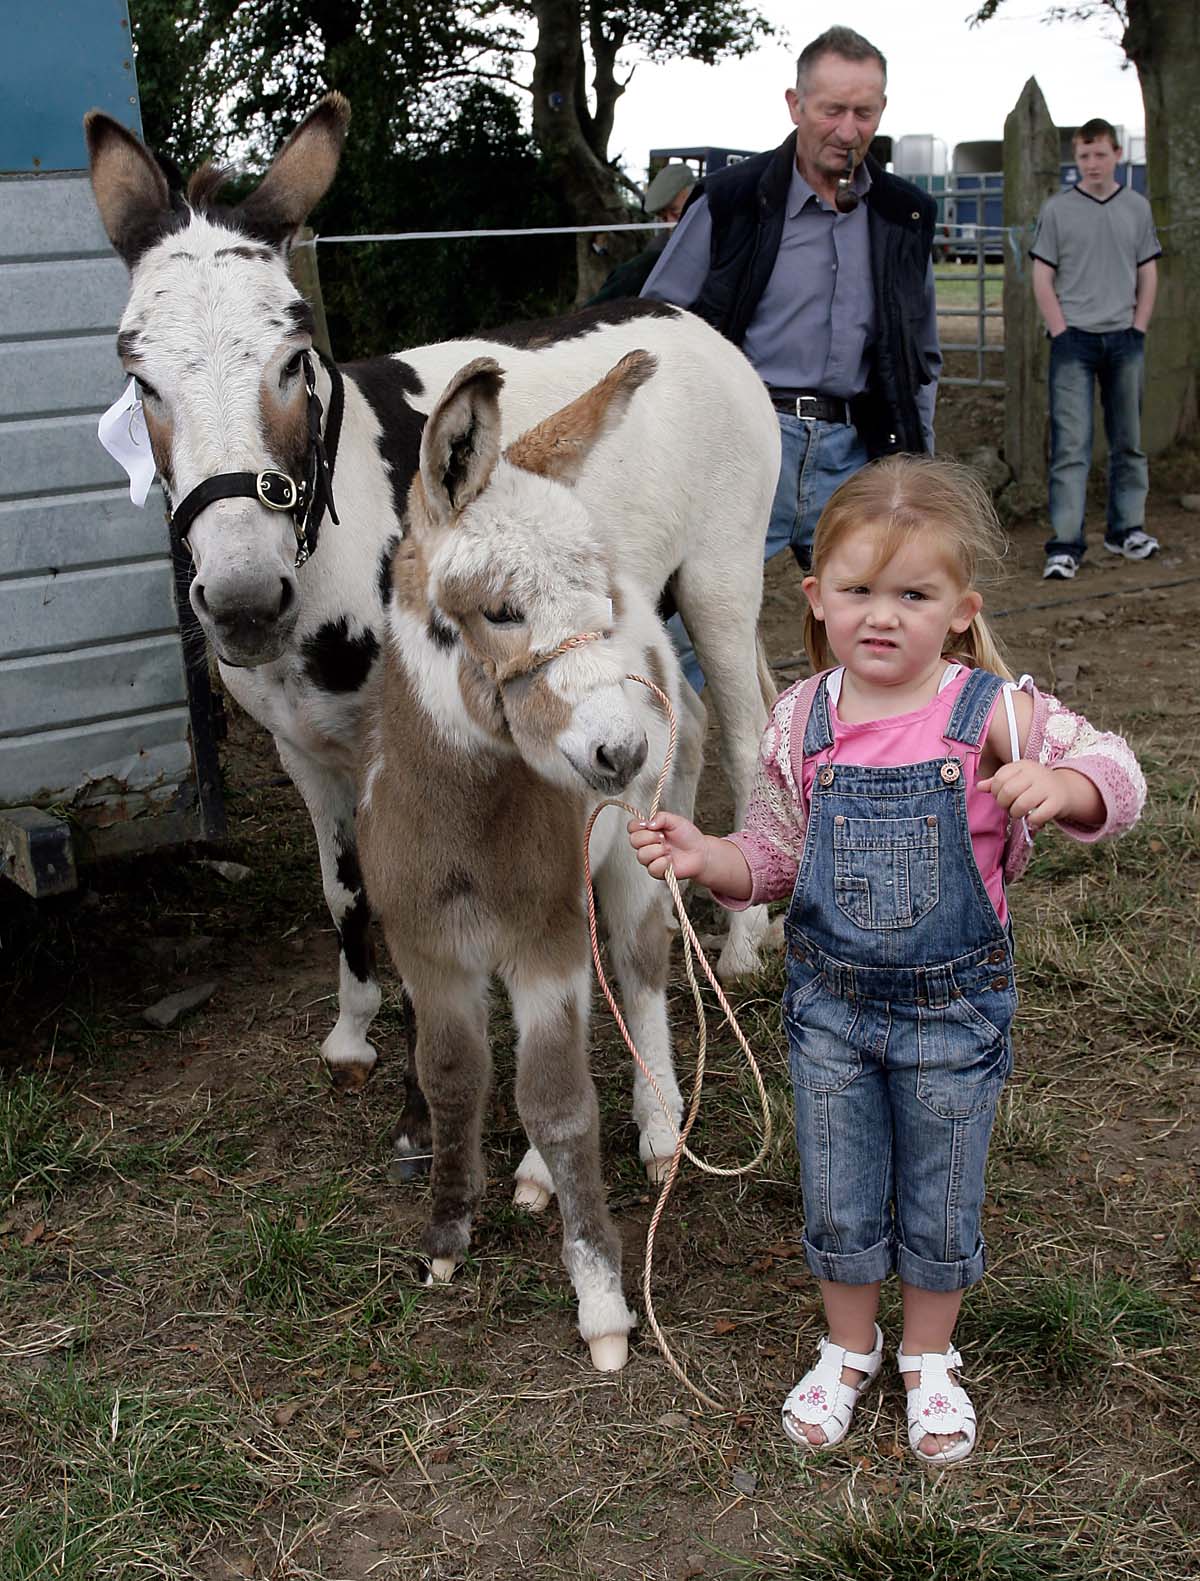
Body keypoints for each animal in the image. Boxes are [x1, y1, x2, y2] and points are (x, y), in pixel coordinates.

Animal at [83, 93, 779, 1173]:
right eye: (139, 378)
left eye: (294, 358)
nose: (243, 602)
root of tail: (686, 318)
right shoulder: (303, 751)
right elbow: (344, 892)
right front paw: (352, 1033)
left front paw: (427, 1104)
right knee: (691, 729)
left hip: (719, 577)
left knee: (745, 735)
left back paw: (743, 942)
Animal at [359, 349, 700, 1367]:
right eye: (503, 611)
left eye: (595, 607)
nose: (621, 750)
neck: (461, 825)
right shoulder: (428, 952)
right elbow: (452, 1075)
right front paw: (445, 1236)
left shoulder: (543, 943)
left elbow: (557, 1098)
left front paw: (602, 1305)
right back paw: (533, 1176)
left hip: (631, 854)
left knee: (639, 969)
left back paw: (659, 1129)